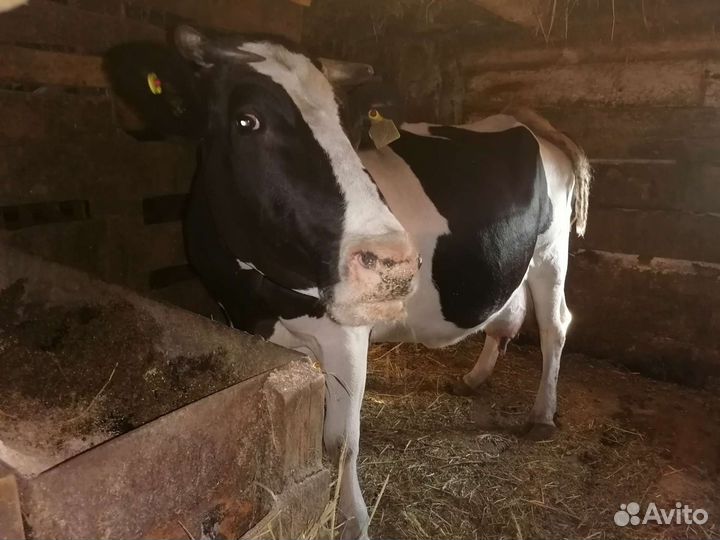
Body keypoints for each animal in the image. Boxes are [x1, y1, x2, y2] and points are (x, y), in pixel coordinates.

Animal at [106, 27, 590, 540]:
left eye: (352, 128)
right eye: (246, 121)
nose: (395, 261)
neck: (261, 295)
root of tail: (520, 119)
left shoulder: (348, 335)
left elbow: (340, 441)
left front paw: (352, 519)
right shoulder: (239, 318)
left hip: (551, 250)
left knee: (556, 325)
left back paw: (542, 415)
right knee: (506, 316)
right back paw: (474, 379)